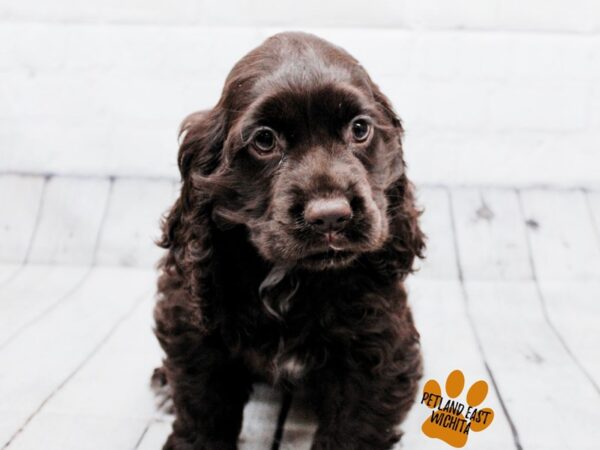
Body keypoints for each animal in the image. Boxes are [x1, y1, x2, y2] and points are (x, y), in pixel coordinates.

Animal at [155, 32, 426, 450]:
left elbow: (353, 430)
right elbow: (201, 415)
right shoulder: (194, 331)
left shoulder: (376, 353)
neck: (291, 278)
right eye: (265, 140)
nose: (330, 215)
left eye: (359, 129)